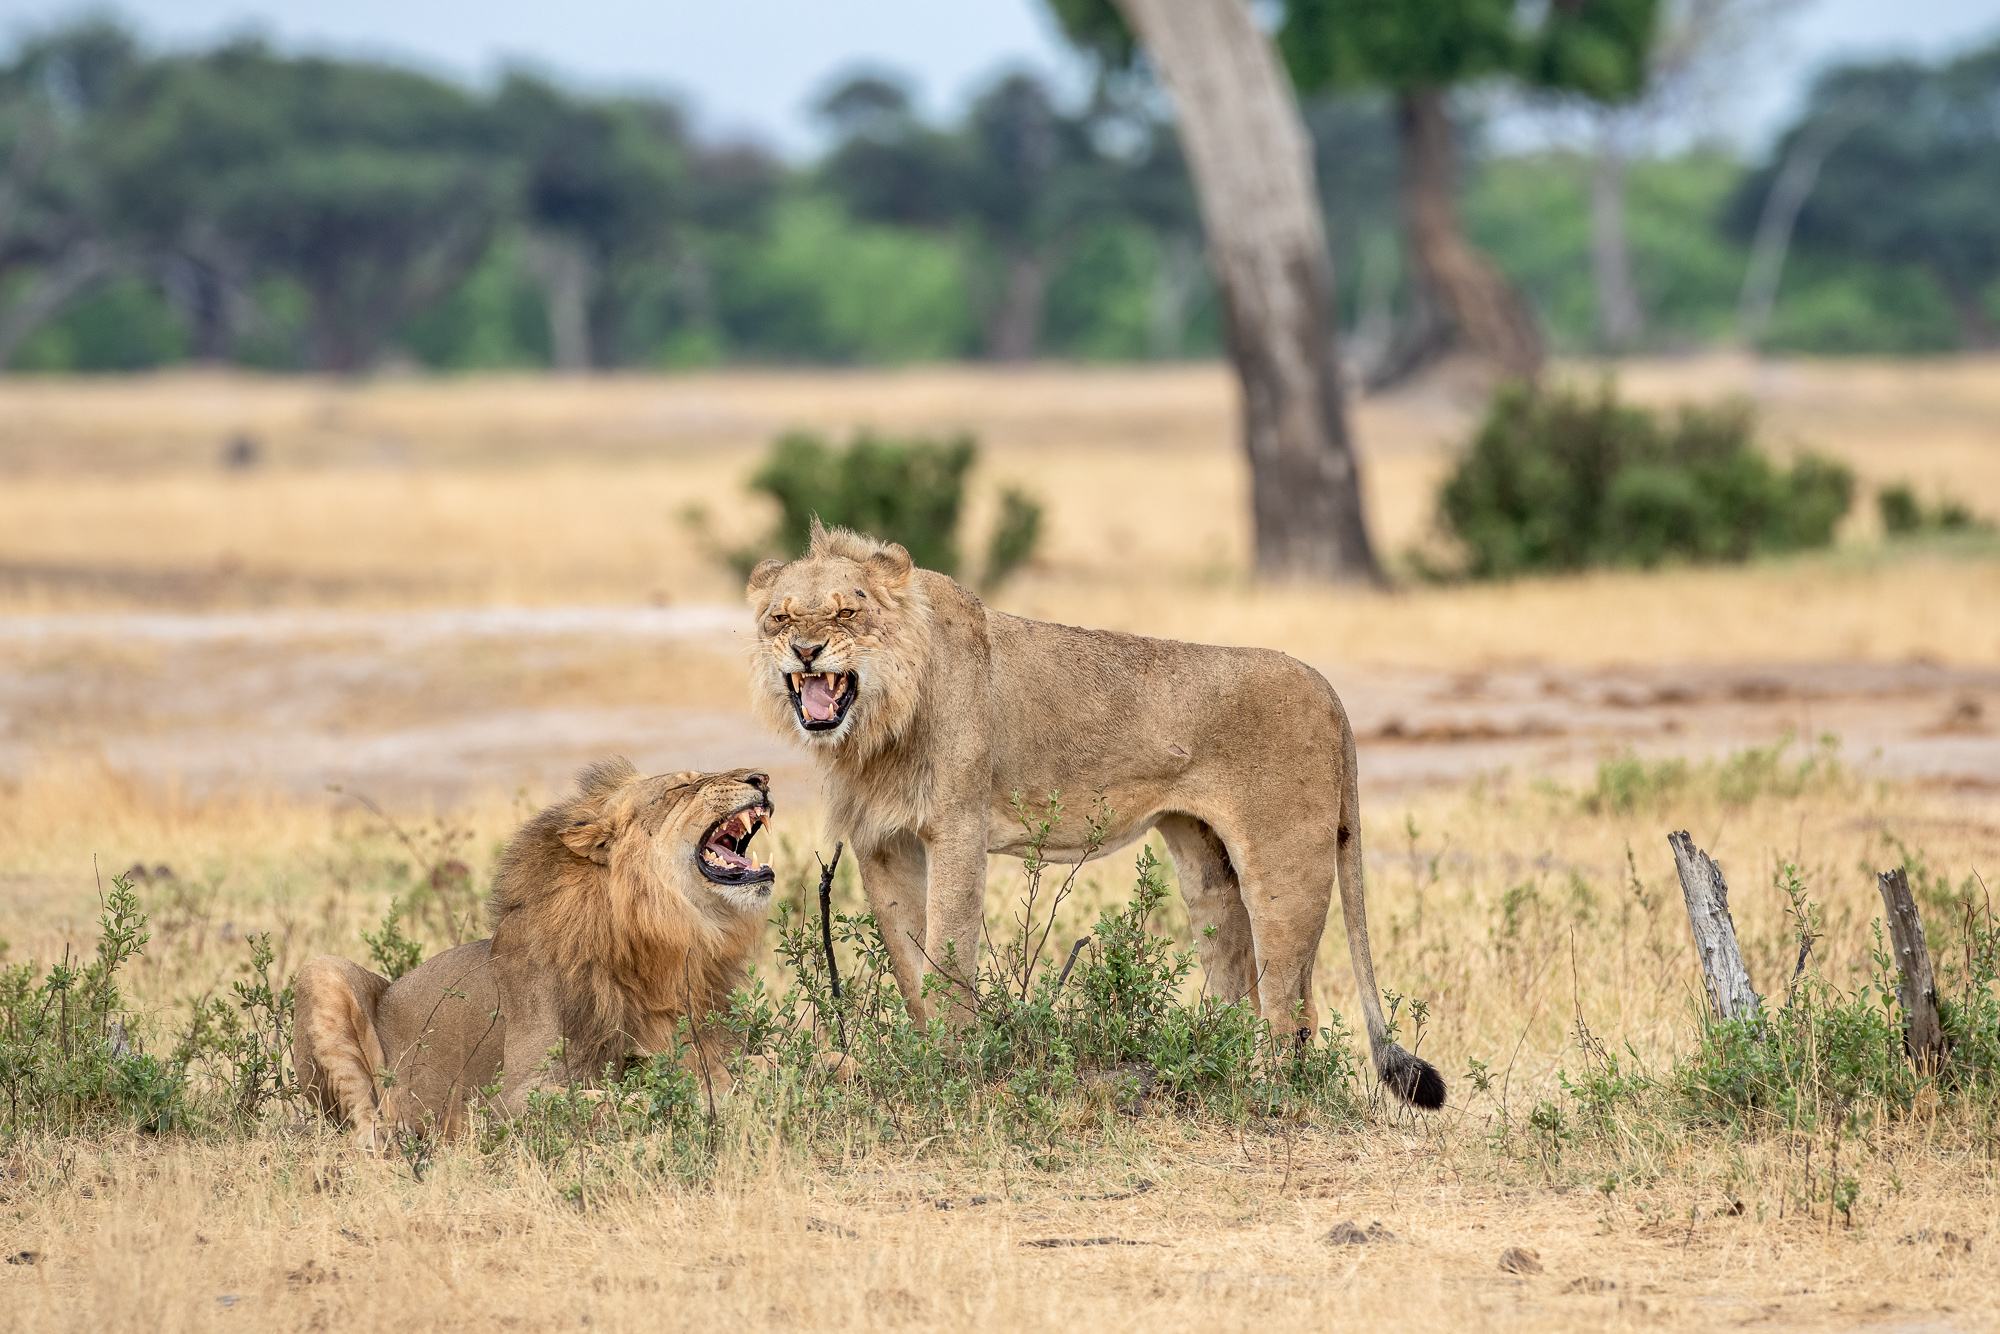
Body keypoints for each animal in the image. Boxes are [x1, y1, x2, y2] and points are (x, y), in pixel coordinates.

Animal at [296, 760, 780, 1152]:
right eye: (683, 785)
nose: (762, 777)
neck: (669, 945)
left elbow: (770, 1062)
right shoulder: (511, 1100)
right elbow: (624, 1100)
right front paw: (706, 1102)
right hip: (320, 970)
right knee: (361, 1118)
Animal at [748, 524, 1440, 1120]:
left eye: (847, 614)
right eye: (779, 617)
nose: (804, 651)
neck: (878, 724)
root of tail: (1330, 690)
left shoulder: (957, 828)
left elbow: (946, 954)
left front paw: (951, 1069)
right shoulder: (882, 841)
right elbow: (908, 961)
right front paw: (920, 1059)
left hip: (1283, 863)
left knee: (1291, 1006)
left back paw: (1270, 1094)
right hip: (1204, 860)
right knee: (1236, 975)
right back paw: (1207, 1067)